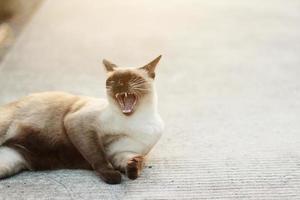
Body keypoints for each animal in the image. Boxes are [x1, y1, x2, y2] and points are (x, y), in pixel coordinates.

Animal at [0, 55, 164, 184]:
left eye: (133, 78)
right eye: (113, 80)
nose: (120, 84)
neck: (134, 120)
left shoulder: (122, 152)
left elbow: (133, 161)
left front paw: (134, 167)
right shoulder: (80, 124)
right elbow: (98, 156)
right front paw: (113, 177)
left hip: (9, 161)